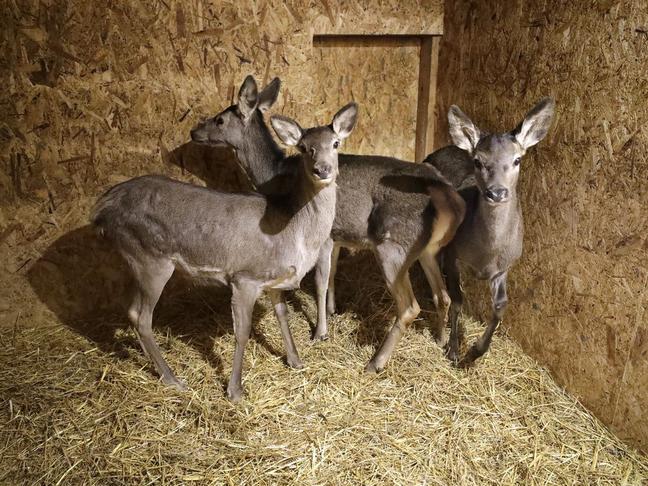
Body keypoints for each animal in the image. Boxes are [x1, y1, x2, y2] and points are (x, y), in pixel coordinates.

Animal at [90, 100, 360, 400]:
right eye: (303, 147)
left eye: (335, 143)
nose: (322, 169)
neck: (294, 233)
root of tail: (102, 208)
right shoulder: (244, 277)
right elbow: (242, 332)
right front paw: (235, 390)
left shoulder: (274, 280)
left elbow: (282, 315)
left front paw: (296, 360)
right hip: (151, 258)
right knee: (141, 316)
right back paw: (173, 379)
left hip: (136, 260)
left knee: (130, 309)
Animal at [189, 75, 466, 372]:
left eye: (219, 119)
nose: (194, 132)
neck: (273, 176)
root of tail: (450, 198)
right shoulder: (338, 236)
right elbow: (331, 274)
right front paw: (333, 311)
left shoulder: (322, 236)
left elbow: (320, 280)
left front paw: (320, 331)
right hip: (427, 249)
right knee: (443, 295)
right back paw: (439, 340)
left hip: (393, 246)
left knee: (410, 306)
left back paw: (376, 362)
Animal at [422, 97, 556, 366]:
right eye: (478, 161)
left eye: (517, 159)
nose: (497, 192)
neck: (485, 253)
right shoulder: (454, 254)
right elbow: (458, 299)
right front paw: (454, 350)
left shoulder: (504, 266)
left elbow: (501, 306)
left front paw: (475, 350)